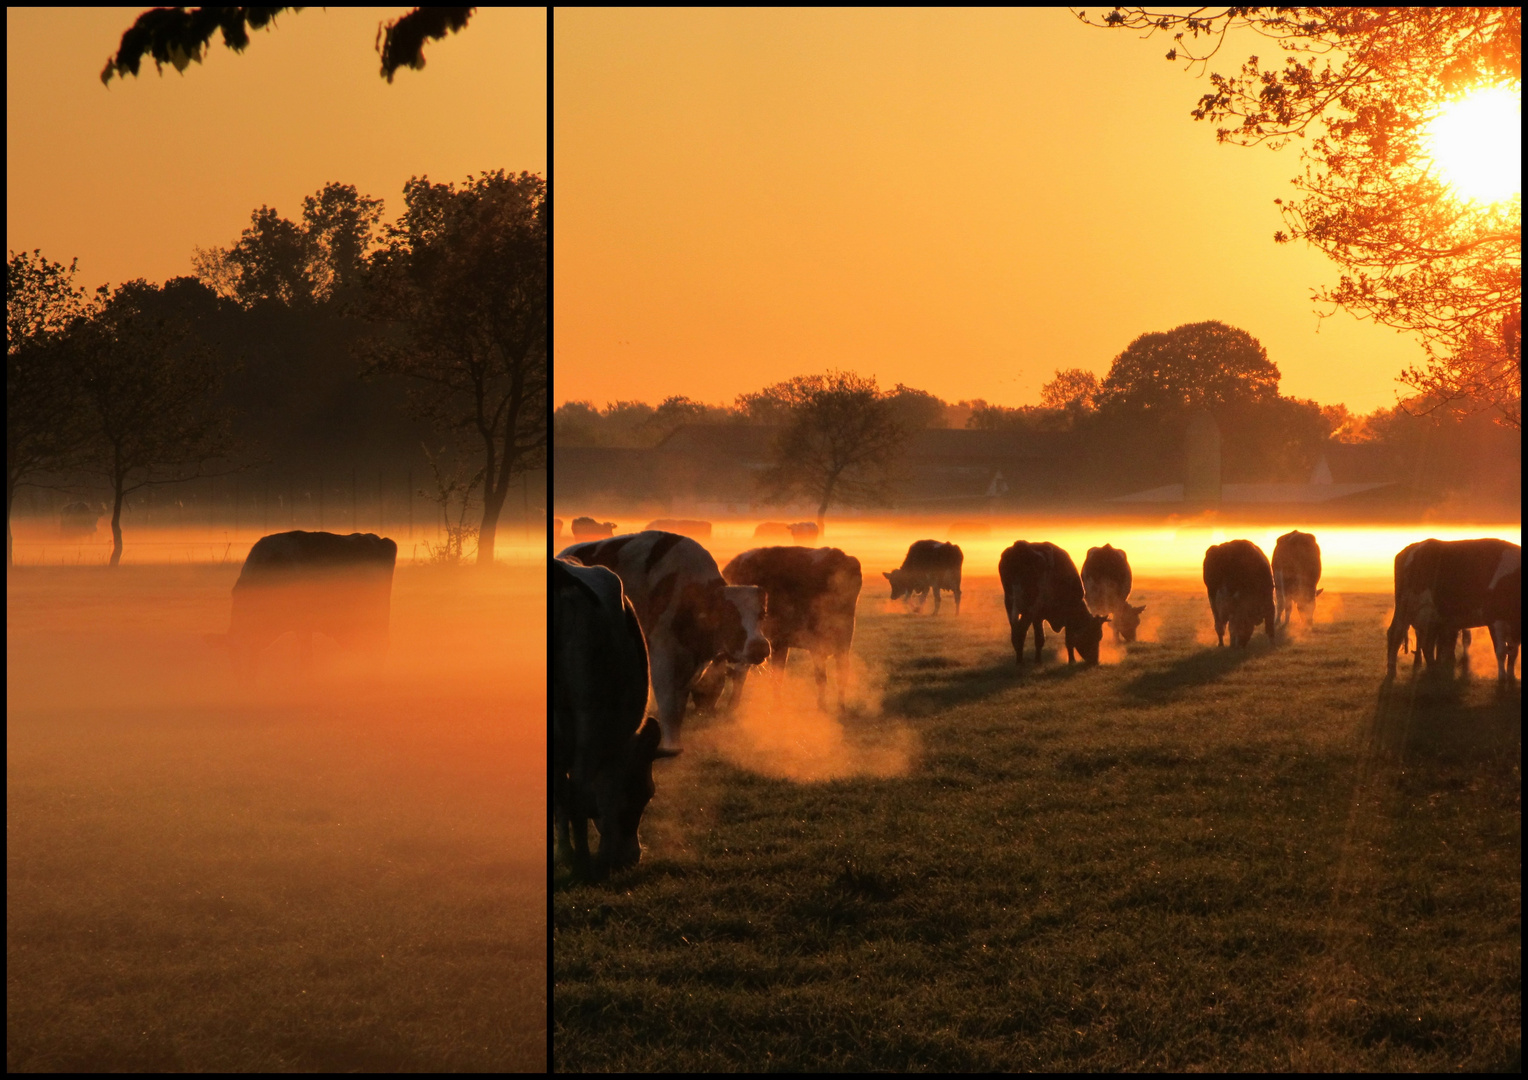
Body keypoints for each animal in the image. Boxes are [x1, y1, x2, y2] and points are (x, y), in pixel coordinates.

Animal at [209, 528, 400, 672]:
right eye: (231, 655)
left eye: (247, 649)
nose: (244, 681)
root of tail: (377, 539)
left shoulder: (304, 624)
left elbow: (306, 659)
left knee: (379, 644)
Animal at [559, 531, 770, 751]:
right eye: (728, 615)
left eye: (762, 614)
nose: (760, 647)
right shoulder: (662, 659)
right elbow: (669, 710)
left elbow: (678, 711)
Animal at [1393, 537, 1521, 681]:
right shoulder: (1494, 619)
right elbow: (1501, 651)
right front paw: (1502, 677)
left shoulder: (1515, 627)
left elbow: (1513, 652)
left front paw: (1511, 676)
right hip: (1405, 608)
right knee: (1395, 634)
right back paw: (1392, 672)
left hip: (1431, 617)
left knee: (1427, 644)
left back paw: (1434, 670)